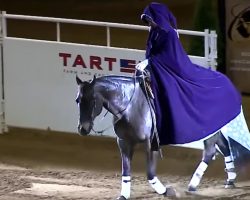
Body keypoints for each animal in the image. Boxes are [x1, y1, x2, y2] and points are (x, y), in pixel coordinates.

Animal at [75, 74, 237, 198]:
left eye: (93, 100)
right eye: (77, 100)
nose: (83, 128)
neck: (131, 107)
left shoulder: (150, 143)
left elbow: (150, 173)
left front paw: (166, 191)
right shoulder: (124, 142)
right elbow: (126, 171)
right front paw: (123, 195)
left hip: (209, 133)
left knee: (210, 151)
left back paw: (196, 184)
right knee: (223, 147)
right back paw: (229, 180)